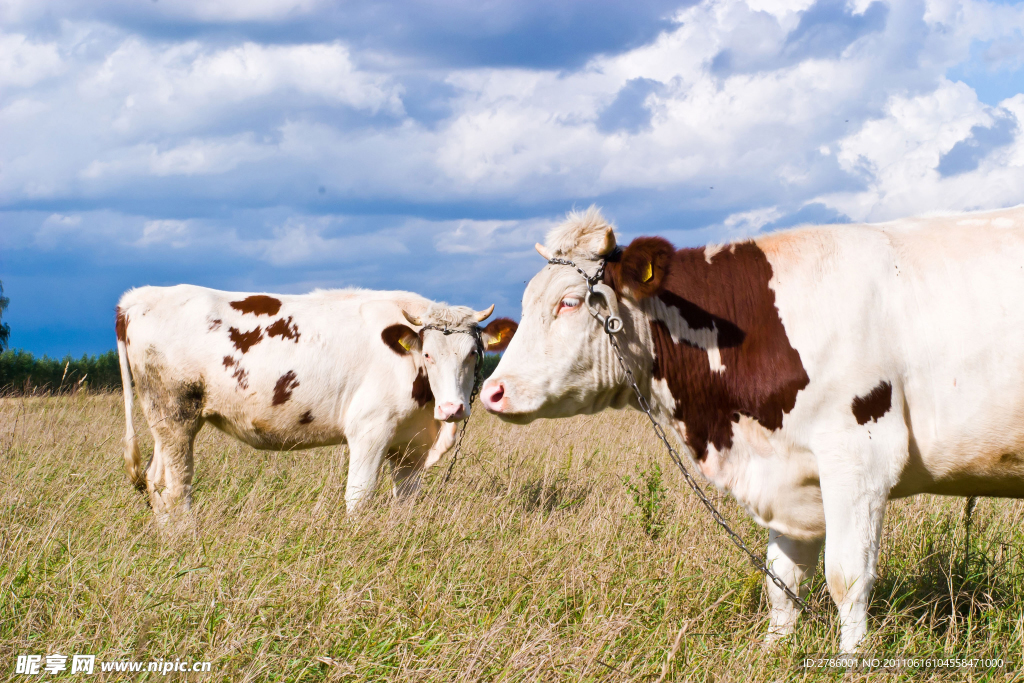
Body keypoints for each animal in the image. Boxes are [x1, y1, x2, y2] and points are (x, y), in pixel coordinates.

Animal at [117, 286, 520, 520]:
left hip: (166, 422)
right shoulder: (369, 431)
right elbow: (359, 498)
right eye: (428, 354)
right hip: (176, 415)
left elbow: (405, 504)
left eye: (473, 353)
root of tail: (138, 298)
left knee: (156, 481)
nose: (453, 409)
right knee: (177, 488)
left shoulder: (413, 445)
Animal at [483, 205, 1024, 655]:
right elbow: (780, 580)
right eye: (526, 303)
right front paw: (771, 651)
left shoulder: (858, 458)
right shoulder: (790, 473)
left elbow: (847, 577)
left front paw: (851, 660)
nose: (493, 390)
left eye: (570, 303)